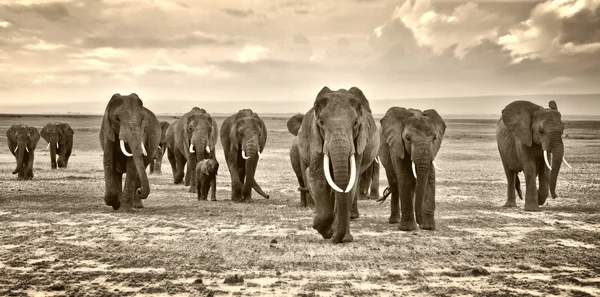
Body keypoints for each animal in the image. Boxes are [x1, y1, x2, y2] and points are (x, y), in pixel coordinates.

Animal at [296, 86, 380, 243]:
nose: (335, 238)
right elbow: (318, 178)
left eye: (355, 123)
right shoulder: (316, 140)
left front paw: (341, 237)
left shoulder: (358, 143)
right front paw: (324, 229)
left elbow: (350, 182)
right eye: (321, 123)